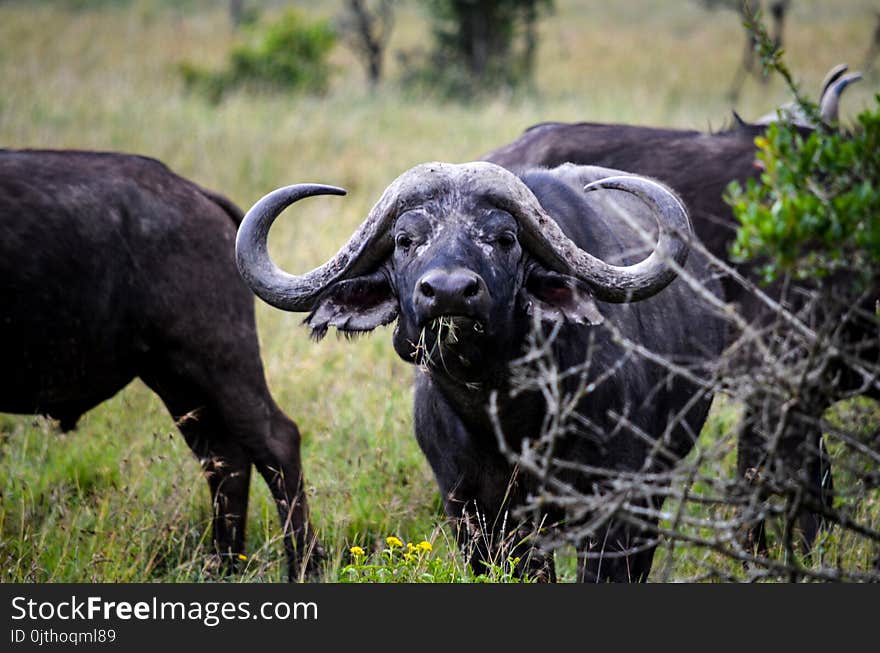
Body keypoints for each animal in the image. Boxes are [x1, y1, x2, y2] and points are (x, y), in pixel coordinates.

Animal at [0, 149, 322, 580]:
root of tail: (193, 192)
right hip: (176, 380)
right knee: (224, 457)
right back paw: (223, 562)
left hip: (218, 358)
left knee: (275, 441)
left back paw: (303, 564)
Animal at [237, 160, 724, 580]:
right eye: (405, 240)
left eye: (505, 238)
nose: (449, 291)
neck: (507, 415)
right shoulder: (473, 513)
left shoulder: (616, 502)